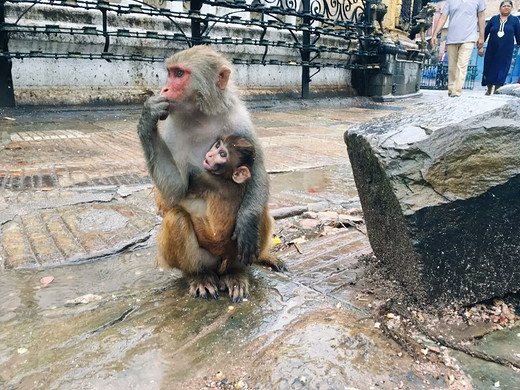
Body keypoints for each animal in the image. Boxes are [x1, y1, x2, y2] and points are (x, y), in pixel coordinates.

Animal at [138, 45, 284, 296]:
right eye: (171, 72)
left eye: (179, 74)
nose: (164, 88)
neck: (201, 115)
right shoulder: (173, 129)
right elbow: (174, 193)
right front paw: (147, 119)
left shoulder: (239, 119)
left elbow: (256, 169)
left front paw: (247, 221)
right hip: (203, 258)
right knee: (176, 219)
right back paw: (199, 276)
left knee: (260, 212)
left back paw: (236, 273)